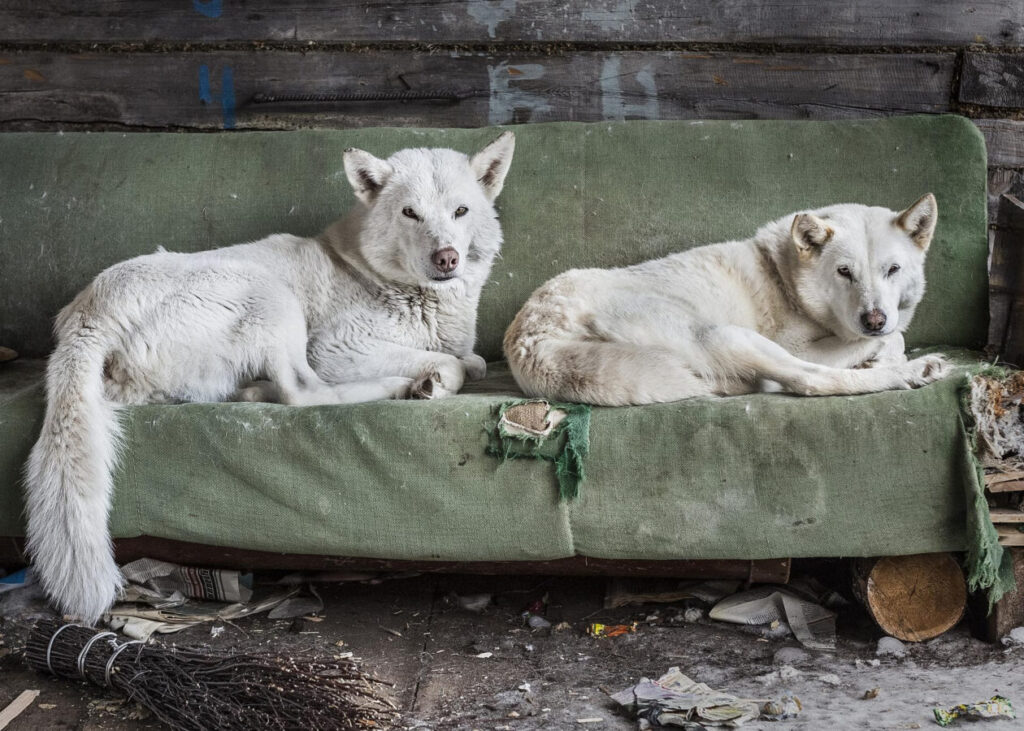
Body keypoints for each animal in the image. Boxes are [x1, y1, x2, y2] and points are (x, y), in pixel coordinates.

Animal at [27, 131, 516, 622]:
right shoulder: (338, 348)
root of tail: (87, 317)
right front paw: (430, 381)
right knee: (303, 392)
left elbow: (471, 360)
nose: (447, 258)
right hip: (270, 295)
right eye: (410, 212)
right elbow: (452, 364)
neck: (375, 273)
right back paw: (397, 388)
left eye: (460, 211)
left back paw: (254, 389)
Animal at [507, 193, 946, 403]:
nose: (874, 319)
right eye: (844, 272)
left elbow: (891, 337)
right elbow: (892, 339)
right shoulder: (803, 346)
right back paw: (915, 372)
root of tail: (533, 338)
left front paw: (881, 352)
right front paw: (887, 358)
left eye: (893, 270)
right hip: (726, 336)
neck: (785, 275)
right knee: (809, 381)